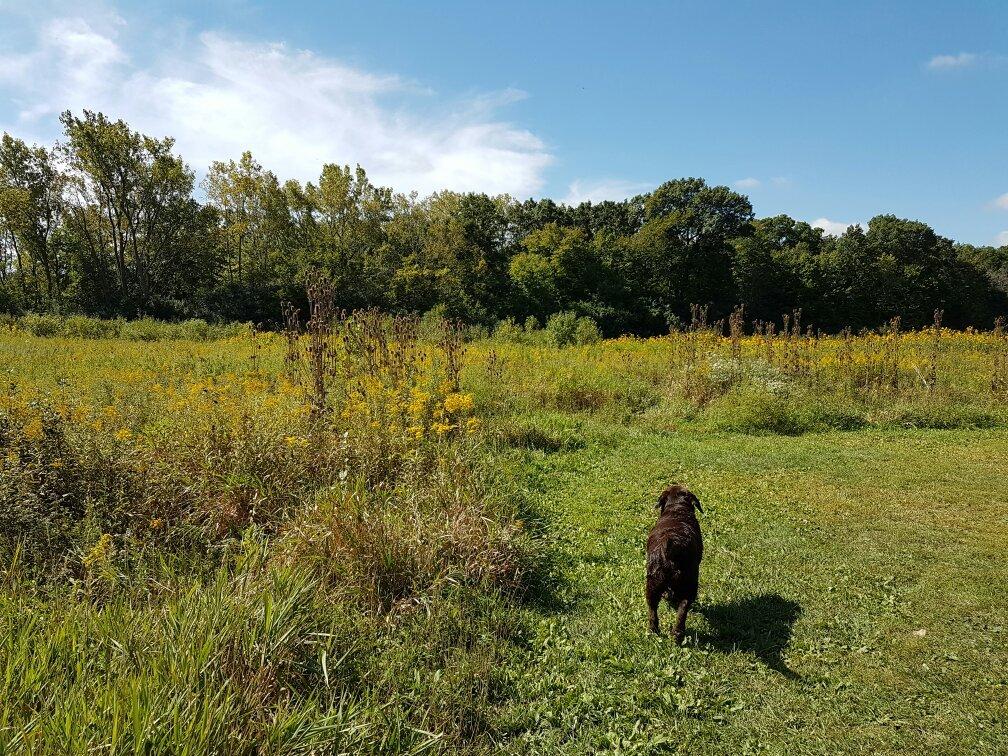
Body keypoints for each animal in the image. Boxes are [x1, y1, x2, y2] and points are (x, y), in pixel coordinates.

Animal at [645, 485, 701, 645]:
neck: (677, 510)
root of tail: (674, 545)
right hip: (689, 584)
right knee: (683, 608)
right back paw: (677, 635)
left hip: (652, 584)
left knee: (653, 610)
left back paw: (654, 631)